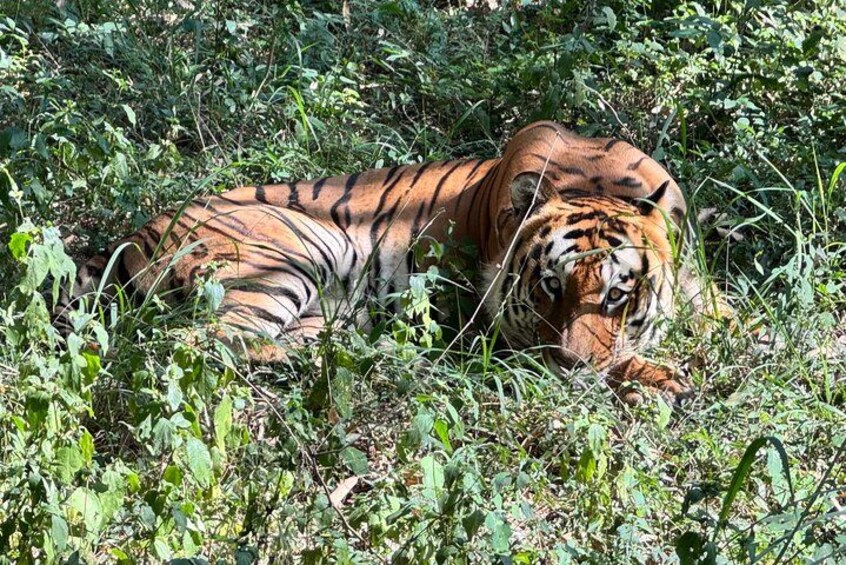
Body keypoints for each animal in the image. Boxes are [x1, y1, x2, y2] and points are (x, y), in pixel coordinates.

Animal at [57, 121, 723, 404]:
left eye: (617, 295)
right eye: (550, 287)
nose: (571, 369)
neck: (592, 179)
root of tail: (135, 232)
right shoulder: (500, 330)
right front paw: (661, 381)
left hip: (318, 305)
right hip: (286, 259)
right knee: (194, 344)